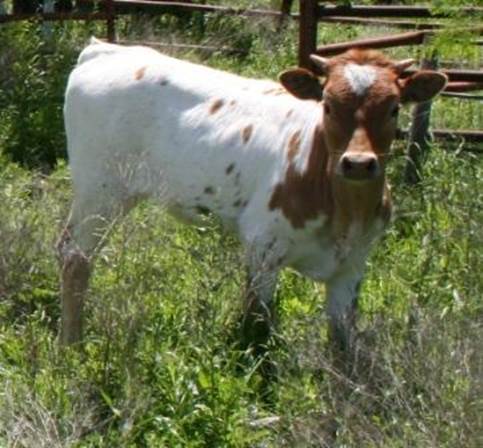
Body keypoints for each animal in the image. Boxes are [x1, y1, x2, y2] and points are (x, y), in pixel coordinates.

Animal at [58, 38, 448, 352]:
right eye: (327, 105)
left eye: (394, 108)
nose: (358, 164)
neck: (345, 212)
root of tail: (106, 50)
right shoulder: (264, 248)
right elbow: (257, 327)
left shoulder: (352, 267)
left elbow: (341, 344)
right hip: (100, 188)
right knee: (75, 257)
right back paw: (71, 344)